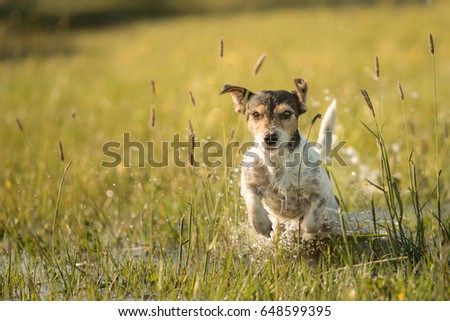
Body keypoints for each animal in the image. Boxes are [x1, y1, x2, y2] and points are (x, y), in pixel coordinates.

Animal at [220, 78, 340, 240]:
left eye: (286, 113)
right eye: (256, 114)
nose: (270, 137)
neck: (276, 160)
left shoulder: (321, 191)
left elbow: (311, 221)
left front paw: (306, 231)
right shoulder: (248, 184)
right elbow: (253, 204)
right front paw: (262, 225)